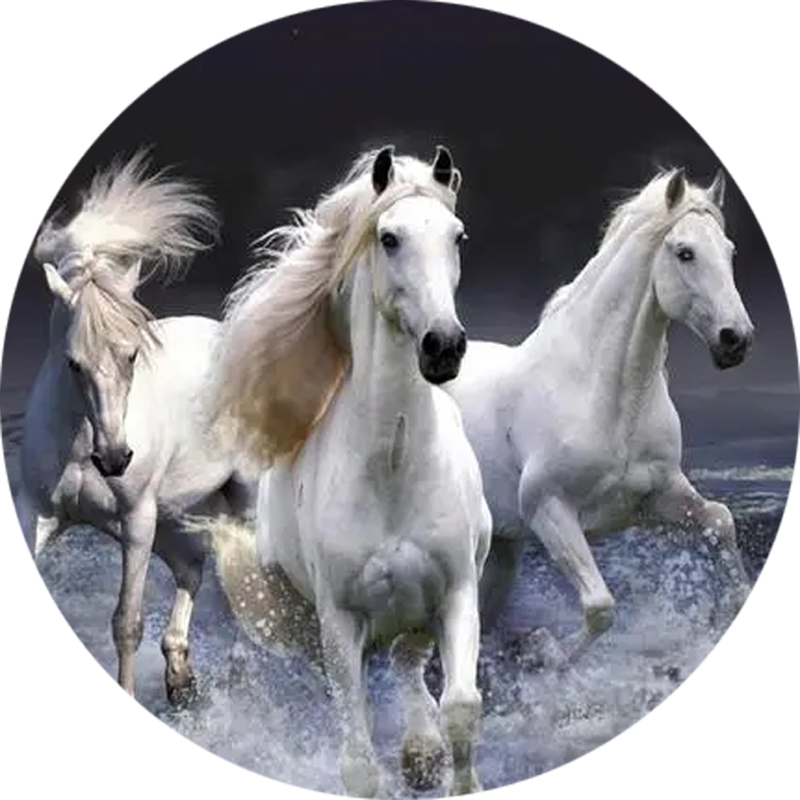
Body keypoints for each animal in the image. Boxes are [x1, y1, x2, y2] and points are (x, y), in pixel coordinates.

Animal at [17, 150, 255, 706]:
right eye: (73, 363)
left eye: (131, 355)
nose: (114, 458)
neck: (79, 443)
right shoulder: (38, 517)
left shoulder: (137, 522)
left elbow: (127, 624)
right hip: (173, 516)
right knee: (193, 568)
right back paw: (180, 677)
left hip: (239, 501)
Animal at [195, 145, 492, 799]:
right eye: (389, 237)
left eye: (458, 235)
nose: (444, 346)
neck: (393, 469)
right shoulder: (339, 622)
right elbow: (357, 757)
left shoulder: (457, 592)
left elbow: (462, 705)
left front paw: (454, 778)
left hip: (418, 609)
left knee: (409, 664)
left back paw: (420, 750)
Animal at [443, 167, 754, 668]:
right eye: (685, 252)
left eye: (728, 251)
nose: (736, 339)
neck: (606, 398)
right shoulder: (549, 509)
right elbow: (600, 607)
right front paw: (545, 650)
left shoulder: (658, 498)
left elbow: (721, 520)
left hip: (500, 551)